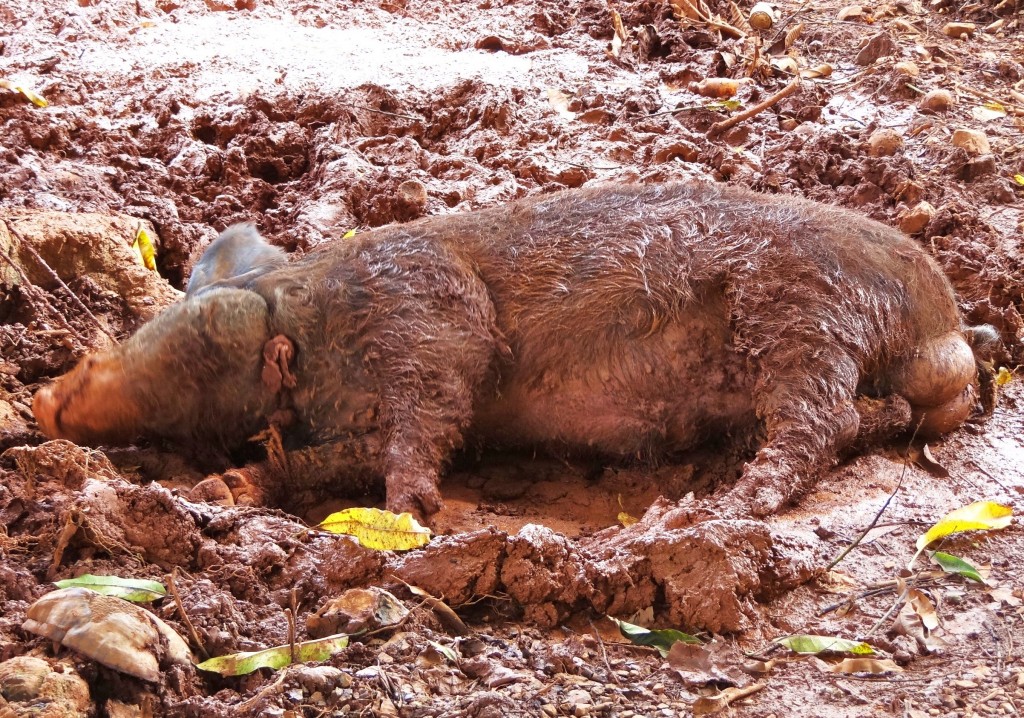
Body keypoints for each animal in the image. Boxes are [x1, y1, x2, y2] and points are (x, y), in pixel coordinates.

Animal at [29, 178, 991, 516]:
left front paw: (412, 510)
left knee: (819, 423)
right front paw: (225, 487)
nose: (40, 400)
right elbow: (334, 456)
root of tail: (942, 326)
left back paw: (722, 506)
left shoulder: (432, 317)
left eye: (197, 357)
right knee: (870, 416)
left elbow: (431, 410)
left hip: (805, 313)